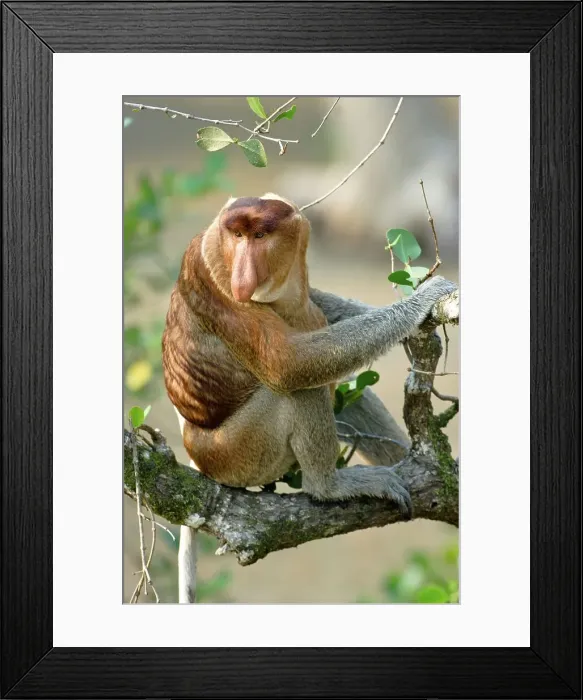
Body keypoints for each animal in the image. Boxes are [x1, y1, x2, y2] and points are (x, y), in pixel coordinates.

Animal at [162, 193, 456, 601]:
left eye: (259, 235)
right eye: (237, 236)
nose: (242, 276)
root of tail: (194, 449)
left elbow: (321, 306)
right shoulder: (210, 270)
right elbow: (286, 362)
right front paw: (425, 299)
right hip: (239, 450)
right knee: (298, 388)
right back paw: (330, 488)